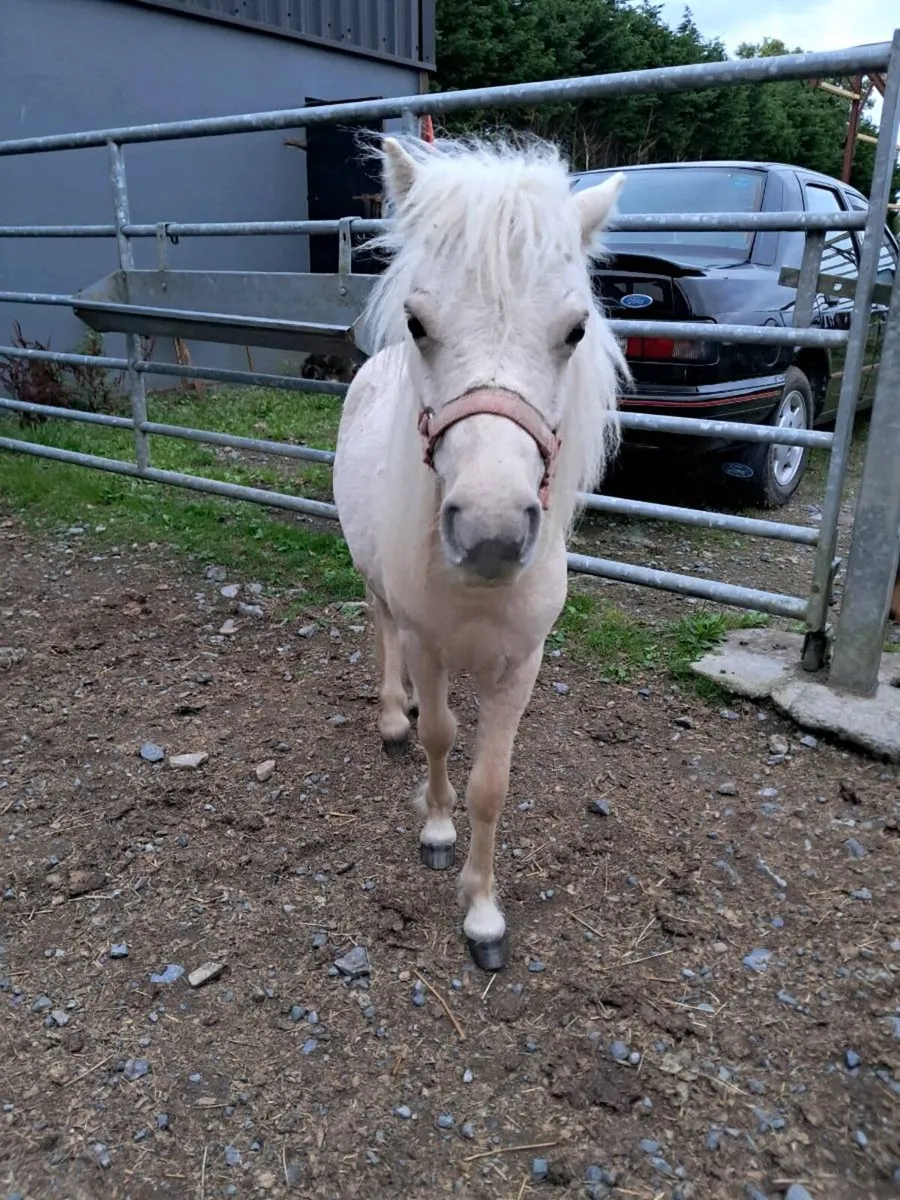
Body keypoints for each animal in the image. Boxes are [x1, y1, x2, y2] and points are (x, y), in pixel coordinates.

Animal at [332, 133, 629, 971]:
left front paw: (484, 912)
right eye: (418, 322)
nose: (492, 532)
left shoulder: (520, 666)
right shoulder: (430, 646)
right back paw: (391, 716)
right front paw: (435, 831)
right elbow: (440, 736)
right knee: (383, 629)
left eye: (575, 331)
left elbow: (491, 785)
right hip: (375, 584)